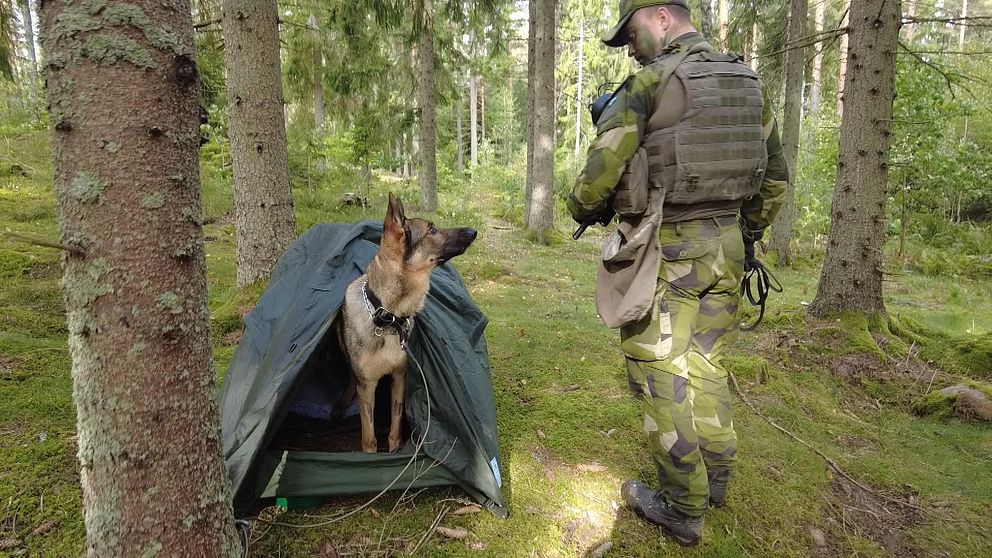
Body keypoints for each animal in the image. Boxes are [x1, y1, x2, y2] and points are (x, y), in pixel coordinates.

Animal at [336, 194, 478, 456]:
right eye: (431, 229)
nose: (473, 231)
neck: (387, 317)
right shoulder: (368, 387)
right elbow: (369, 436)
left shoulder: (399, 377)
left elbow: (395, 426)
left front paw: (394, 450)